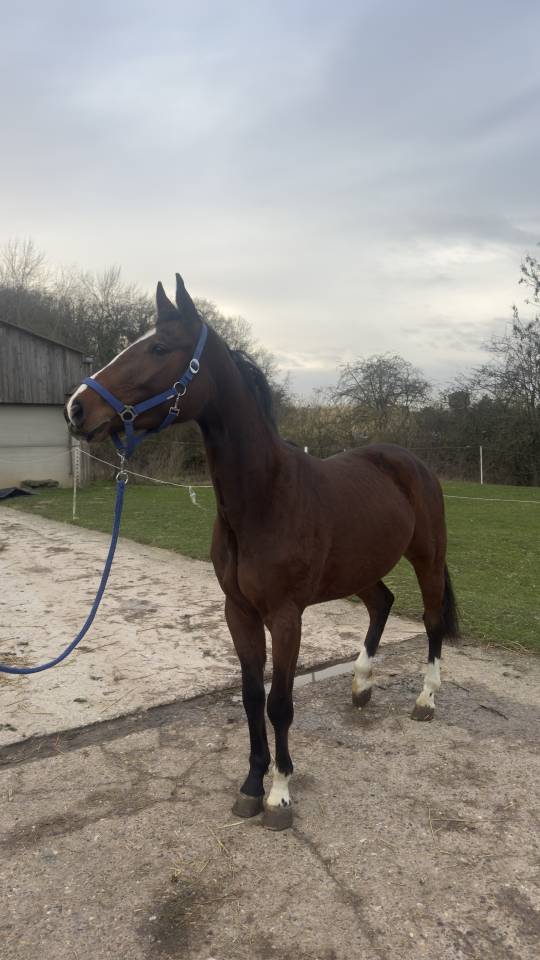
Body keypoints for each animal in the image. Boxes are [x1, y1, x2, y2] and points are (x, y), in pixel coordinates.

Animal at [66, 273, 459, 831]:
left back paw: (426, 699)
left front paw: (280, 793)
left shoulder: (286, 616)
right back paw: (360, 686)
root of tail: (411, 462)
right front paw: (252, 783)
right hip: (360, 568)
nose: (77, 408)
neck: (265, 497)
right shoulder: (240, 611)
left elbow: (280, 703)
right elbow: (253, 697)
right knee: (382, 603)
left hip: (427, 557)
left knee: (429, 619)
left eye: (159, 347)